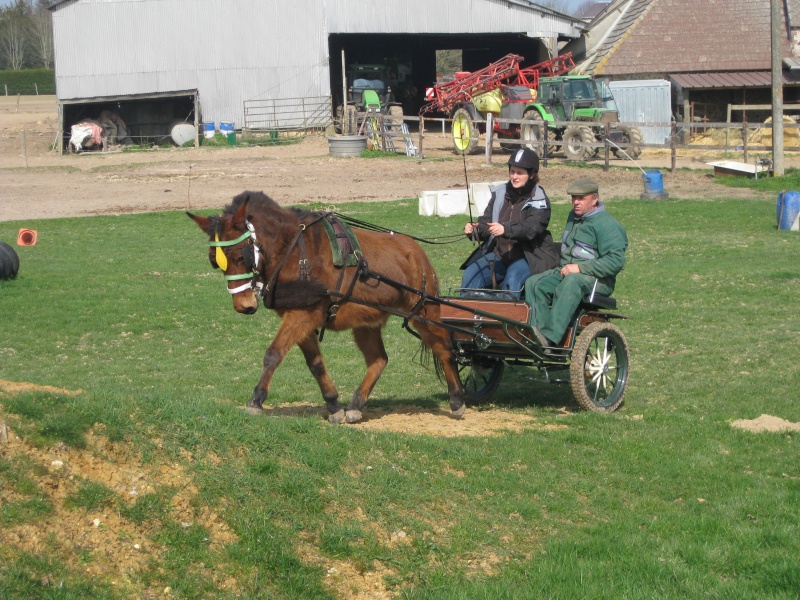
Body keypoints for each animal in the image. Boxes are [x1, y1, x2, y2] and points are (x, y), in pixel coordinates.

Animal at [187, 191, 462, 422]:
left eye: (239, 257)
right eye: (214, 262)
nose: (242, 305)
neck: (293, 251)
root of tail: (417, 252)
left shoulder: (303, 315)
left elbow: (273, 353)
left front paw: (256, 399)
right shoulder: (300, 318)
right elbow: (315, 364)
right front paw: (333, 405)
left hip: (424, 313)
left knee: (444, 349)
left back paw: (457, 400)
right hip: (367, 322)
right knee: (378, 360)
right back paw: (356, 405)